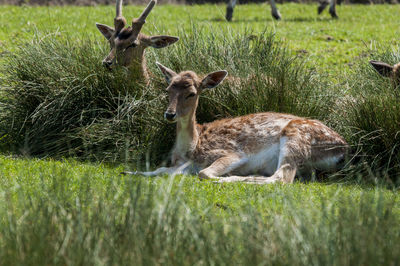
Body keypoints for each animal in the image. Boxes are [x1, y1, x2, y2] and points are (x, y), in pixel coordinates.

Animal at [123, 62, 348, 184]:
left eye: (192, 93)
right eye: (168, 89)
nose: (169, 114)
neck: (191, 149)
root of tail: (344, 150)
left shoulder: (233, 154)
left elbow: (204, 172)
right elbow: (160, 170)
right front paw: (129, 171)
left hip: (296, 137)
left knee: (281, 178)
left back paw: (232, 178)